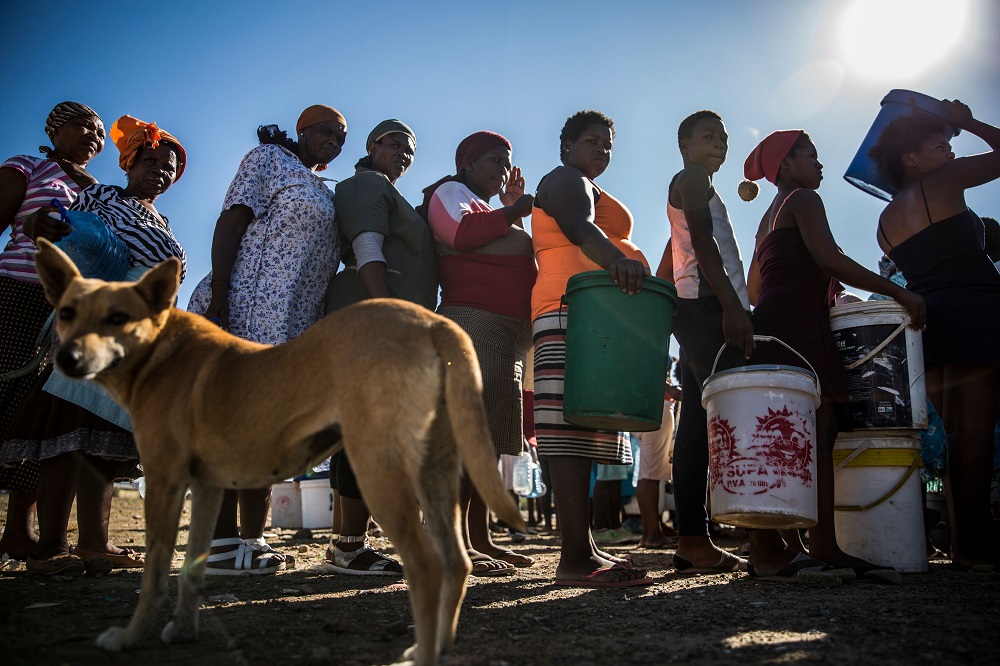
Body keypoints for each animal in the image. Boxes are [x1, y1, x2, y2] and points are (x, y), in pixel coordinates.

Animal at [35, 240, 528, 664]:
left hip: (378, 470)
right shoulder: (206, 488)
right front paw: (184, 630)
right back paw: (439, 646)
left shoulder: (163, 482)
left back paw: (422, 655)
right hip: (434, 474)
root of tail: (434, 323)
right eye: (67, 313)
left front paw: (130, 636)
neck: (160, 350)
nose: (66, 359)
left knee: (426, 567)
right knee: (456, 563)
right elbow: (192, 567)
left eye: (118, 317)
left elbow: (154, 574)